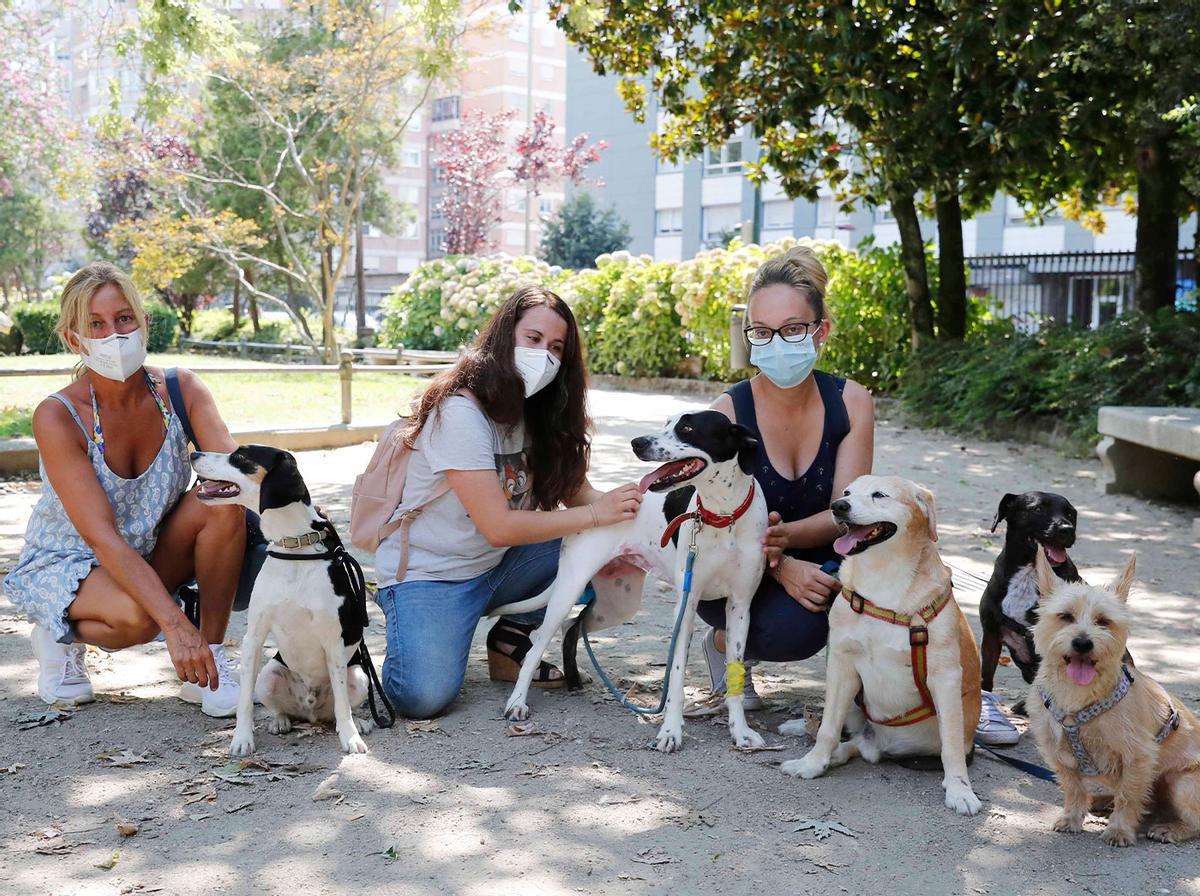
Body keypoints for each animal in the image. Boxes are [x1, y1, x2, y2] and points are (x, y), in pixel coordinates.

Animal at [192, 446, 379, 753]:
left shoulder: (334, 644)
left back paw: (358, 724)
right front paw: (242, 739)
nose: (193, 454)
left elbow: (342, 706)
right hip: (268, 675)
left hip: (359, 676)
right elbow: (244, 702)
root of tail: (310, 709)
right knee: (281, 709)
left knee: (339, 710)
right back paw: (280, 721)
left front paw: (351, 737)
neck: (295, 549)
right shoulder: (254, 638)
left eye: (240, 457)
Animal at [489, 412, 763, 758]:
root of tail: (593, 505)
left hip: (617, 605)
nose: (637, 443)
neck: (722, 516)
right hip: (568, 590)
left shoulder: (740, 608)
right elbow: (675, 677)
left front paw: (740, 731)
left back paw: (573, 679)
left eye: (687, 427)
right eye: (667, 423)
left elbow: (735, 672)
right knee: (536, 648)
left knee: (572, 626)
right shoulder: (685, 608)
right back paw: (517, 702)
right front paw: (670, 732)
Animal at [777, 479, 984, 815]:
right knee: (841, 733)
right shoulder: (841, 665)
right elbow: (827, 729)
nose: (838, 506)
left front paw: (959, 790)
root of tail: (877, 744)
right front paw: (812, 764)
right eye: (847, 493)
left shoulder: (946, 678)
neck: (883, 579)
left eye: (879, 495)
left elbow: (952, 747)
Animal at [979, 491, 1084, 710]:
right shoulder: (991, 635)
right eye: (1037, 508)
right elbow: (986, 678)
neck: (1030, 572)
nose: (1067, 529)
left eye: (1070, 513)